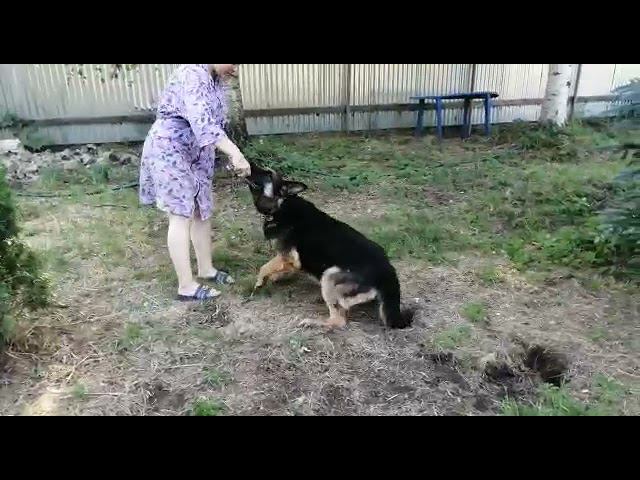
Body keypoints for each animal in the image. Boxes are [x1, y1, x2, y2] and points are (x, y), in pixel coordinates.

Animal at [245, 162, 411, 330]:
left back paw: (314, 322)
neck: (282, 205)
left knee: (338, 320)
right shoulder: (288, 260)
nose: (250, 163)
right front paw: (274, 277)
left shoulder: (287, 256)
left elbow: (264, 267)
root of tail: (388, 272)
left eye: (268, 174)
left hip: (329, 276)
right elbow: (275, 268)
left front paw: (259, 282)